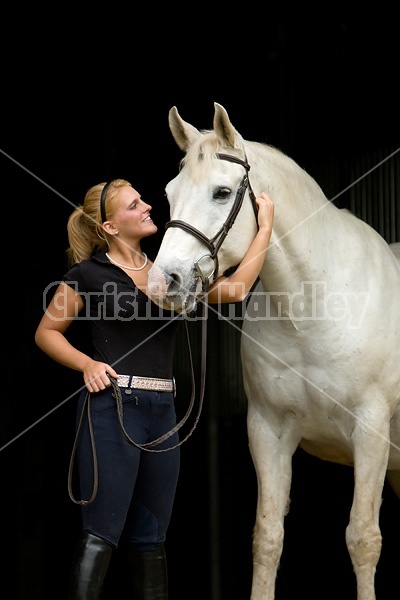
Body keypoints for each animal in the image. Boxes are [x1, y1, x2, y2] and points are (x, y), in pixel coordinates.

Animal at [148, 103, 400, 600]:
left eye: (222, 192)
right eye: (169, 193)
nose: (164, 282)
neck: (313, 307)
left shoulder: (371, 430)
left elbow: (363, 538)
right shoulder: (268, 429)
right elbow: (267, 537)